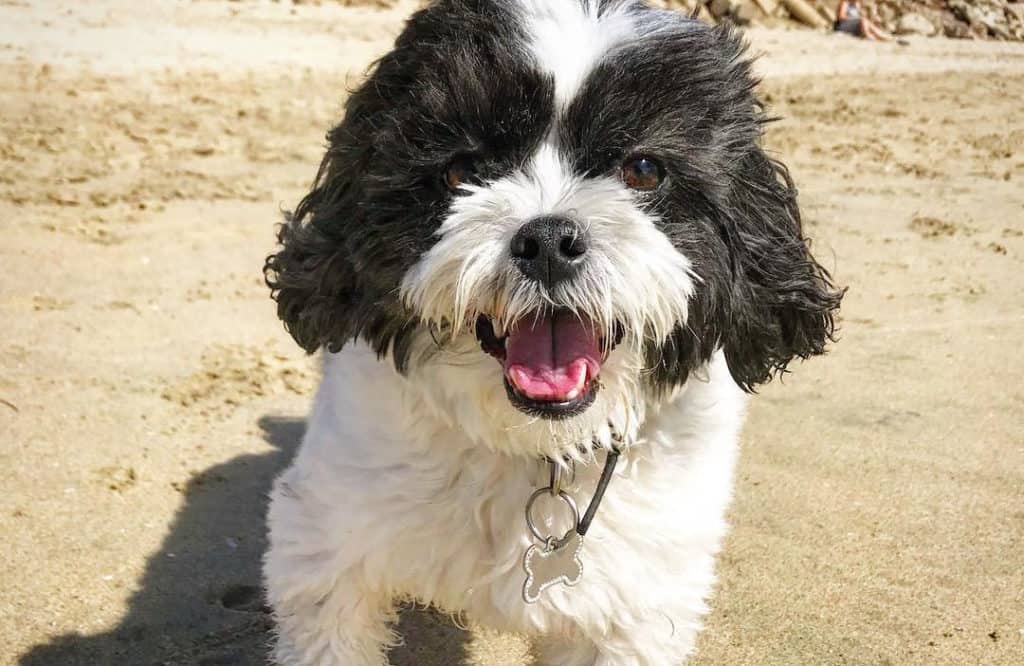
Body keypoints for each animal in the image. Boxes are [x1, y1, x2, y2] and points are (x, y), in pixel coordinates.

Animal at [262, 2, 839, 659]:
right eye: (461, 170)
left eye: (644, 169)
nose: (547, 240)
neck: (538, 450)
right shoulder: (327, 544)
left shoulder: (636, 604)